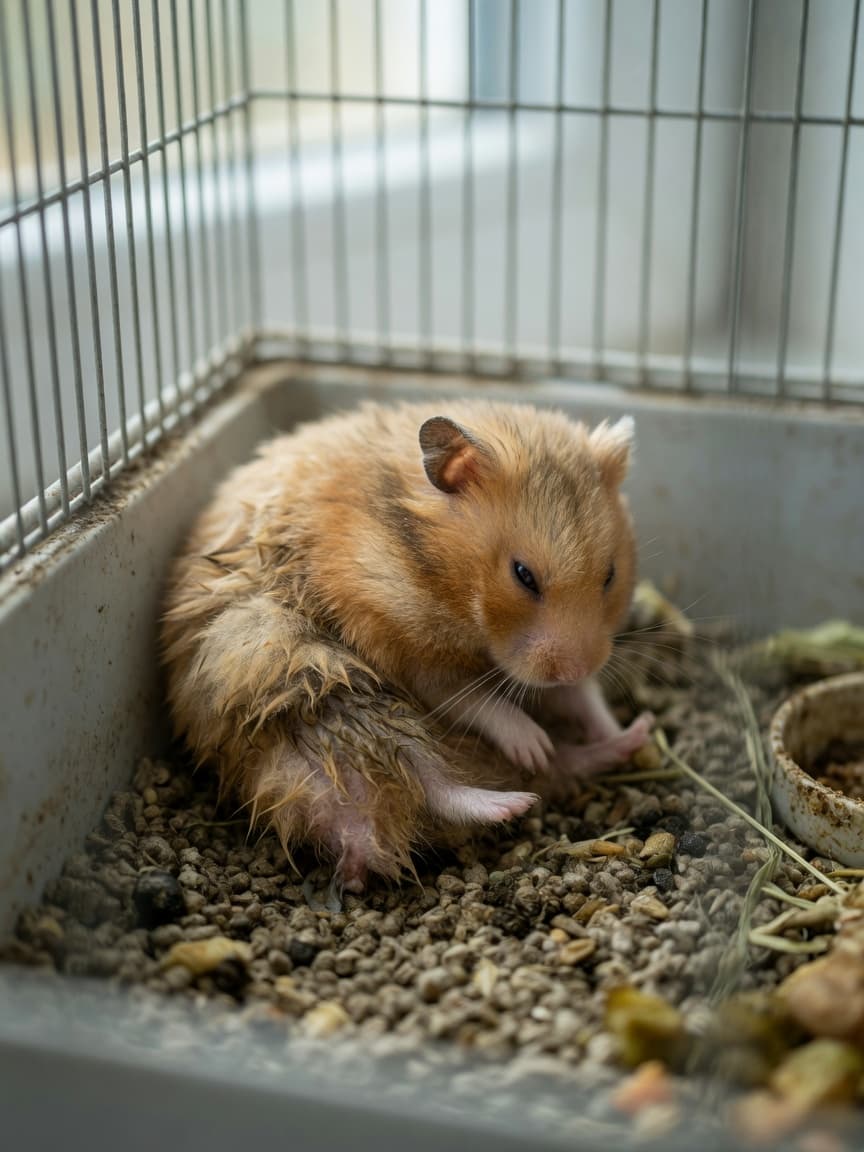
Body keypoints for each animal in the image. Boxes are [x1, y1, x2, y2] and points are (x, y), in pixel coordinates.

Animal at [161, 400, 653, 892]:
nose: (576, 667)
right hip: (333, 697)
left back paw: (627, 738)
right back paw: (515, 797)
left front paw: (604, 722)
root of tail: (360, 839)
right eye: (523, 575)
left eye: (610, 575)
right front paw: (533, 743)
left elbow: (581, 696)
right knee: (430, 781)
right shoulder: (414, 657)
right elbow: (482, 702)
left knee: (560, 766)